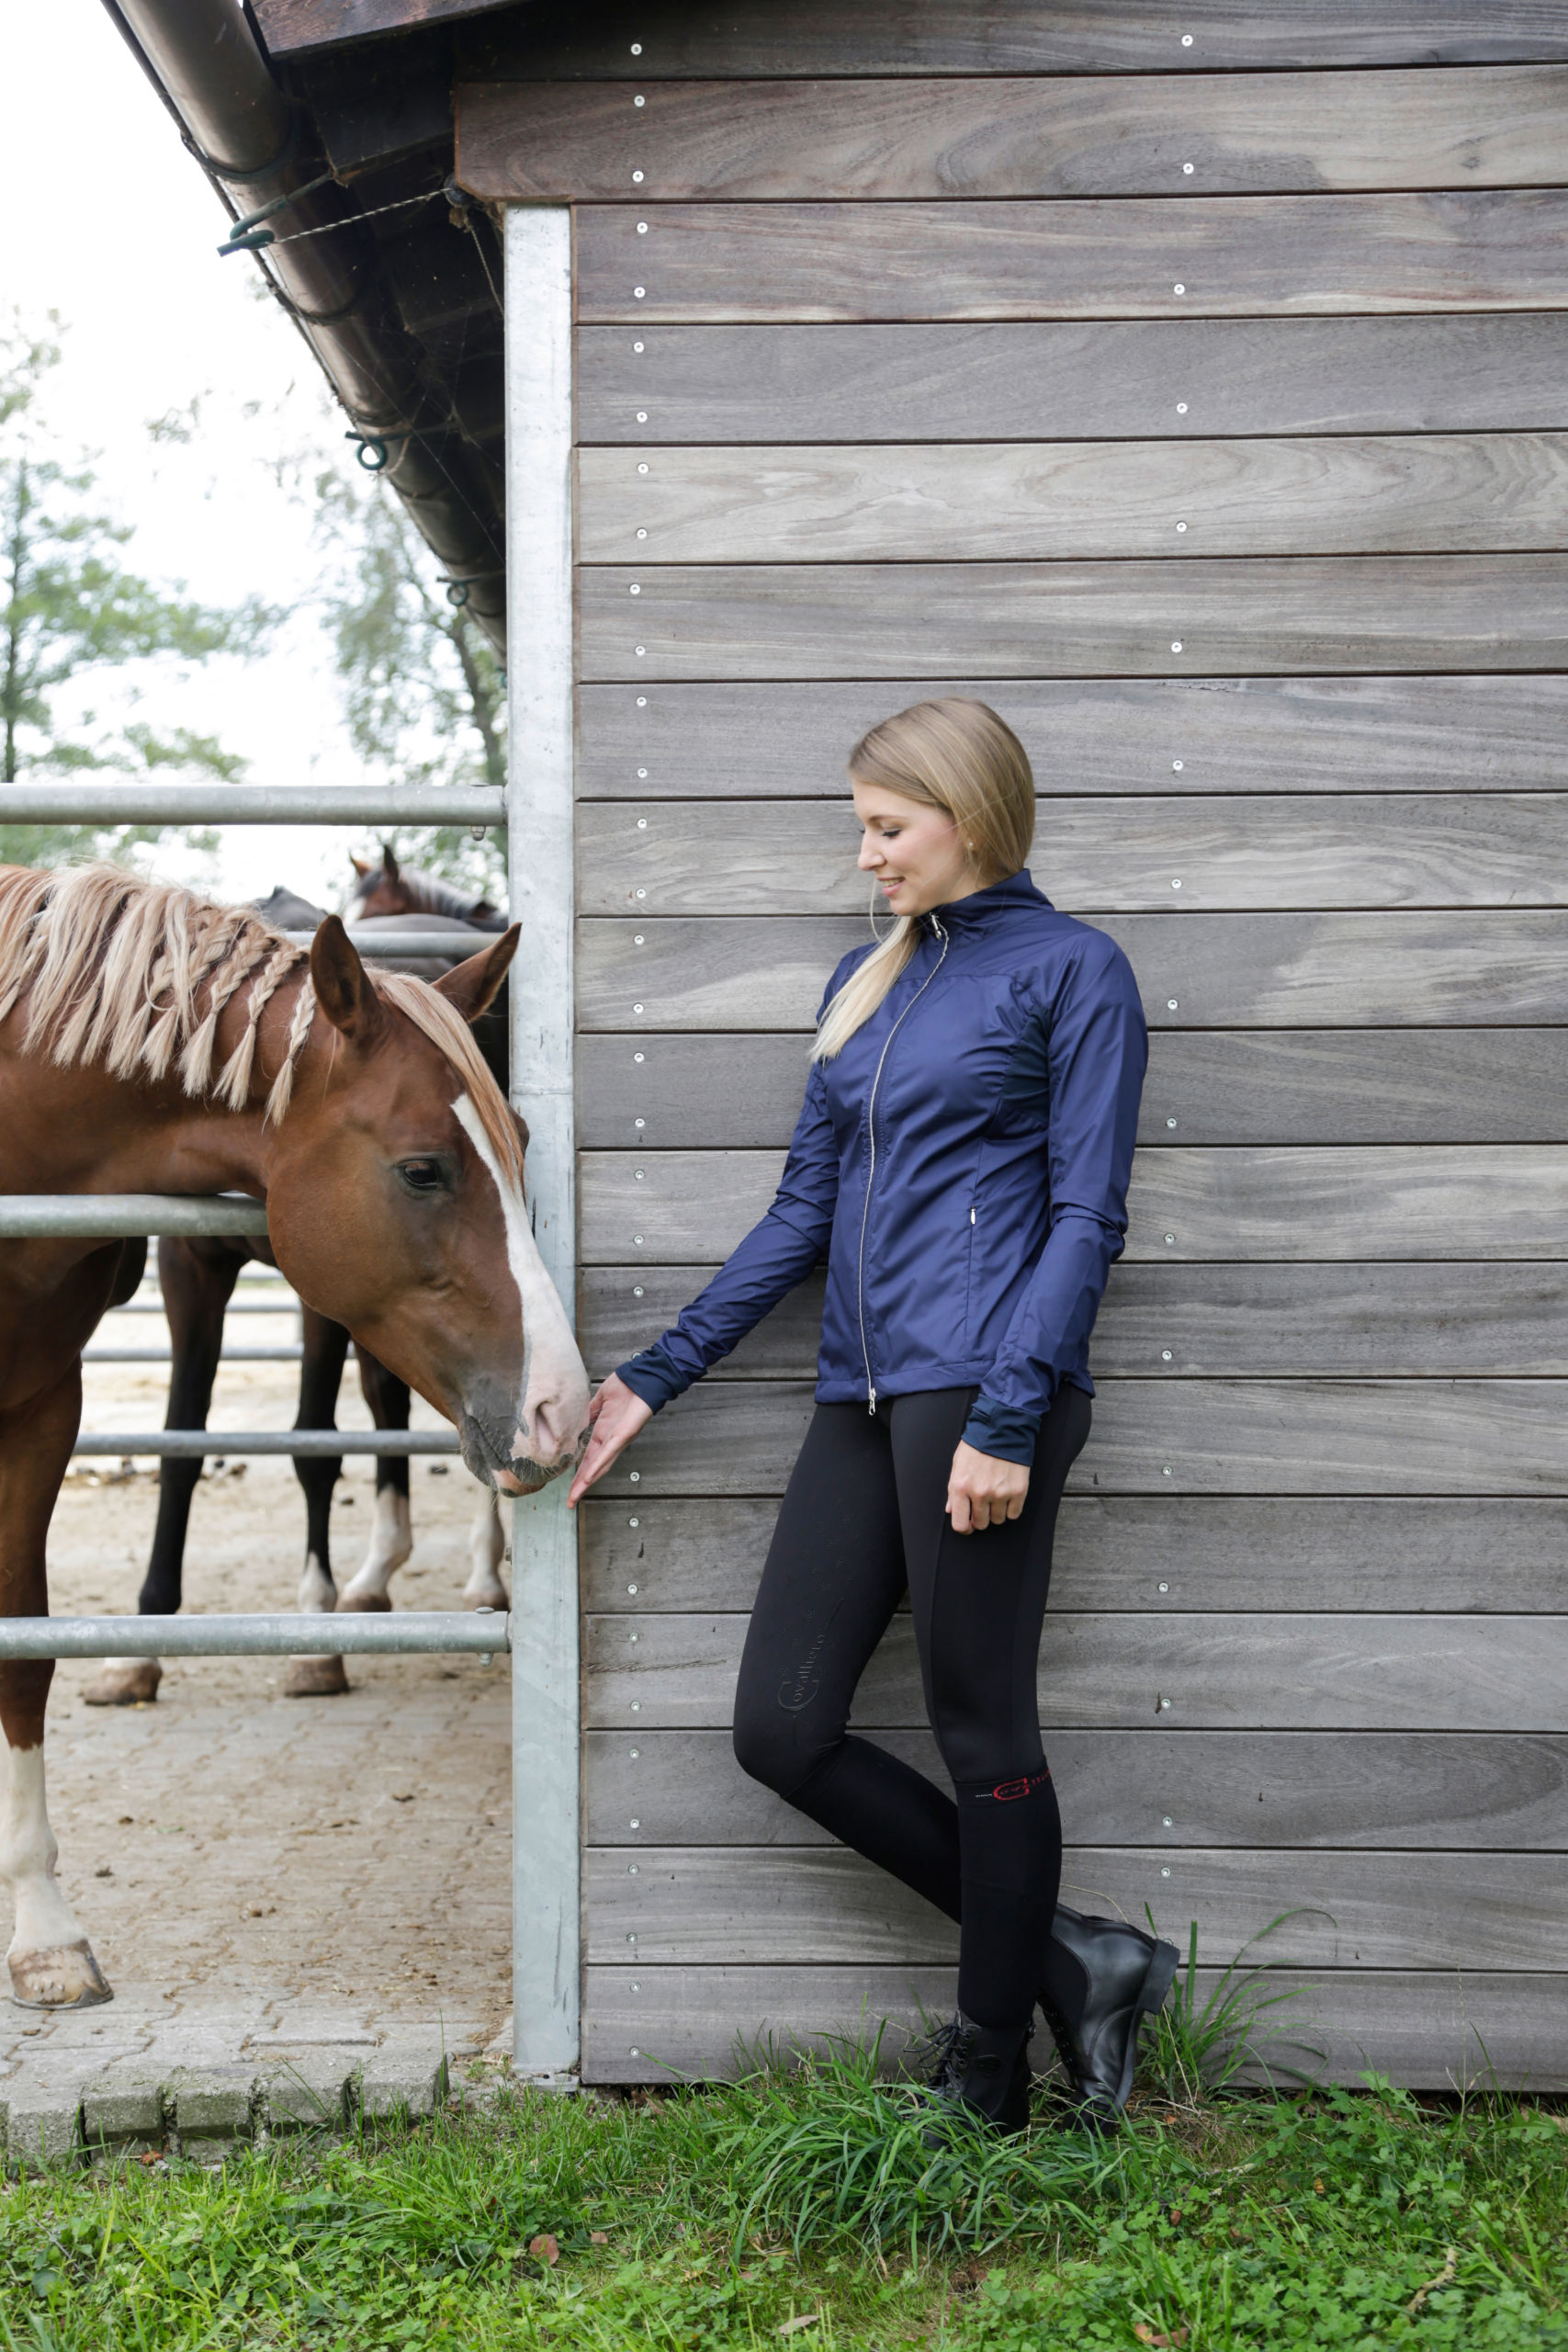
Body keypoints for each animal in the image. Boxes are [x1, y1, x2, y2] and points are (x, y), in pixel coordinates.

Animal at [0, 865, 587, 2004]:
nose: (562, 1406)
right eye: (422, 1169)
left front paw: (43, 1933)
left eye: (523, 1147)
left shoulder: (43, 1405)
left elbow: (24, 1652)